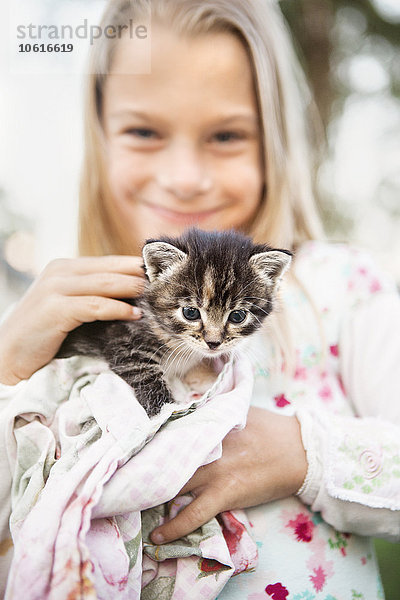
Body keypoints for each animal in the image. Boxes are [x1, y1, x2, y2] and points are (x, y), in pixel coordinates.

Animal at [56, 230, 290, 418]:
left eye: (237, 316)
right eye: (190, 313)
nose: (213, 343)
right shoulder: (123, 339)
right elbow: (143, 370)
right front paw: (165, 409)